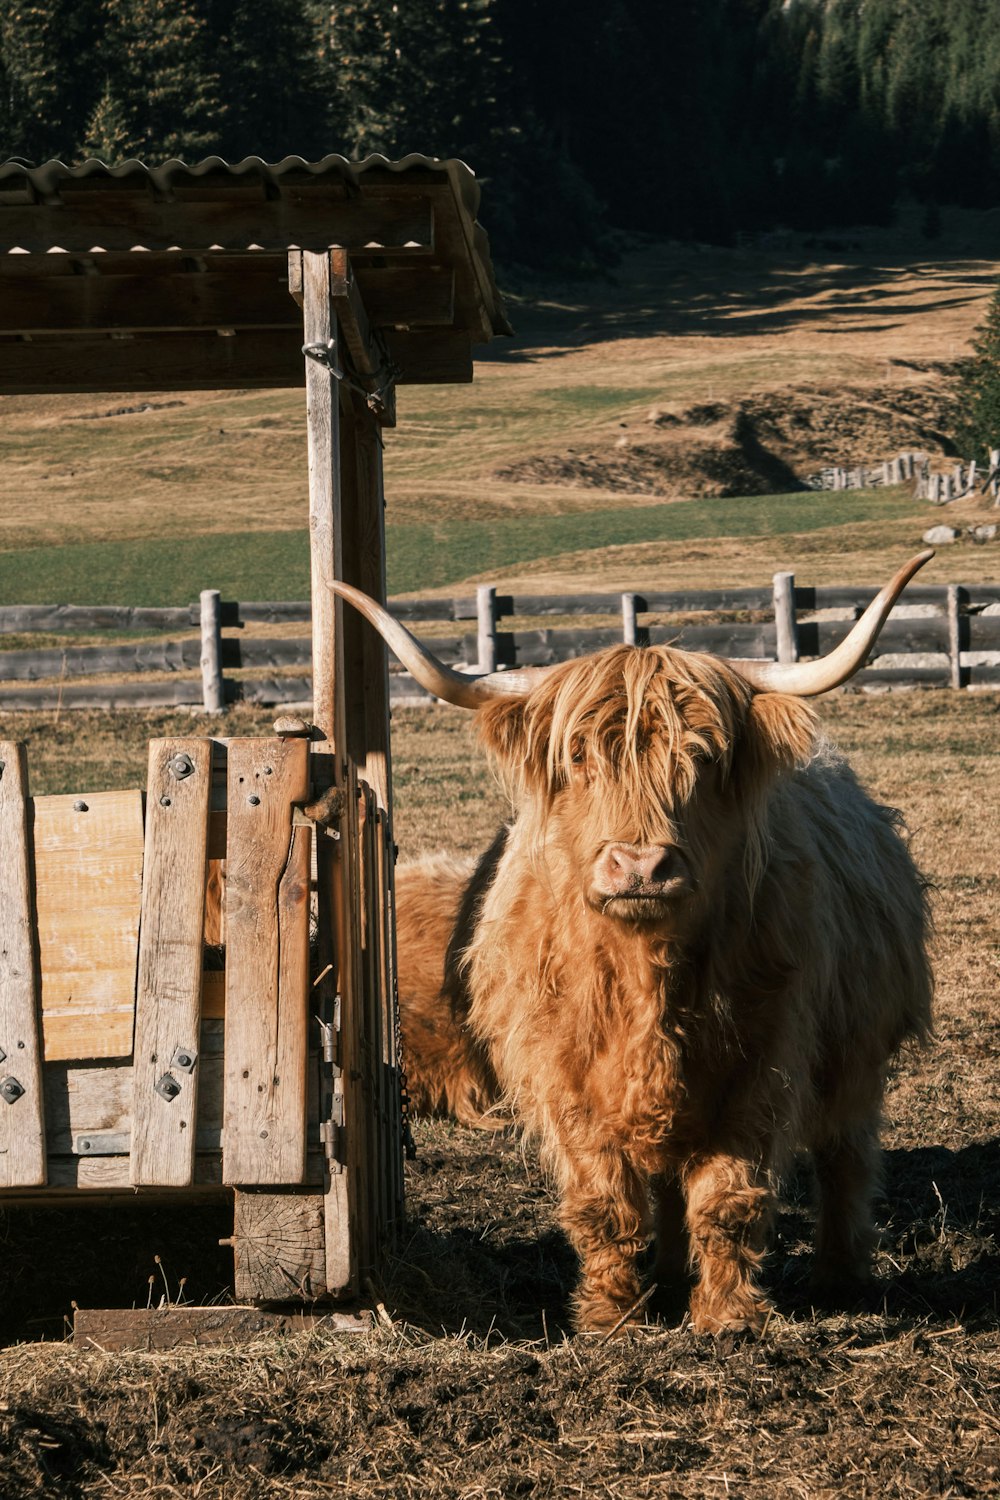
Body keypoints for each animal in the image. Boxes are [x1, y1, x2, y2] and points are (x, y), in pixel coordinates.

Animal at [338, 561, 941, 1338]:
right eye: (578, 756)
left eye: (703, 757)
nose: (641, 866)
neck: (646, 975)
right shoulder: (562, 1068)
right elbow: (608, 1199)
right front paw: (610, 1316)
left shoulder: (765, 1062)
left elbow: (728, 1197)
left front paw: (727, 1318)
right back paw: (669, 1276)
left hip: (856, 1052)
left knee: (846, 1154)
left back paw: (839, 1275)